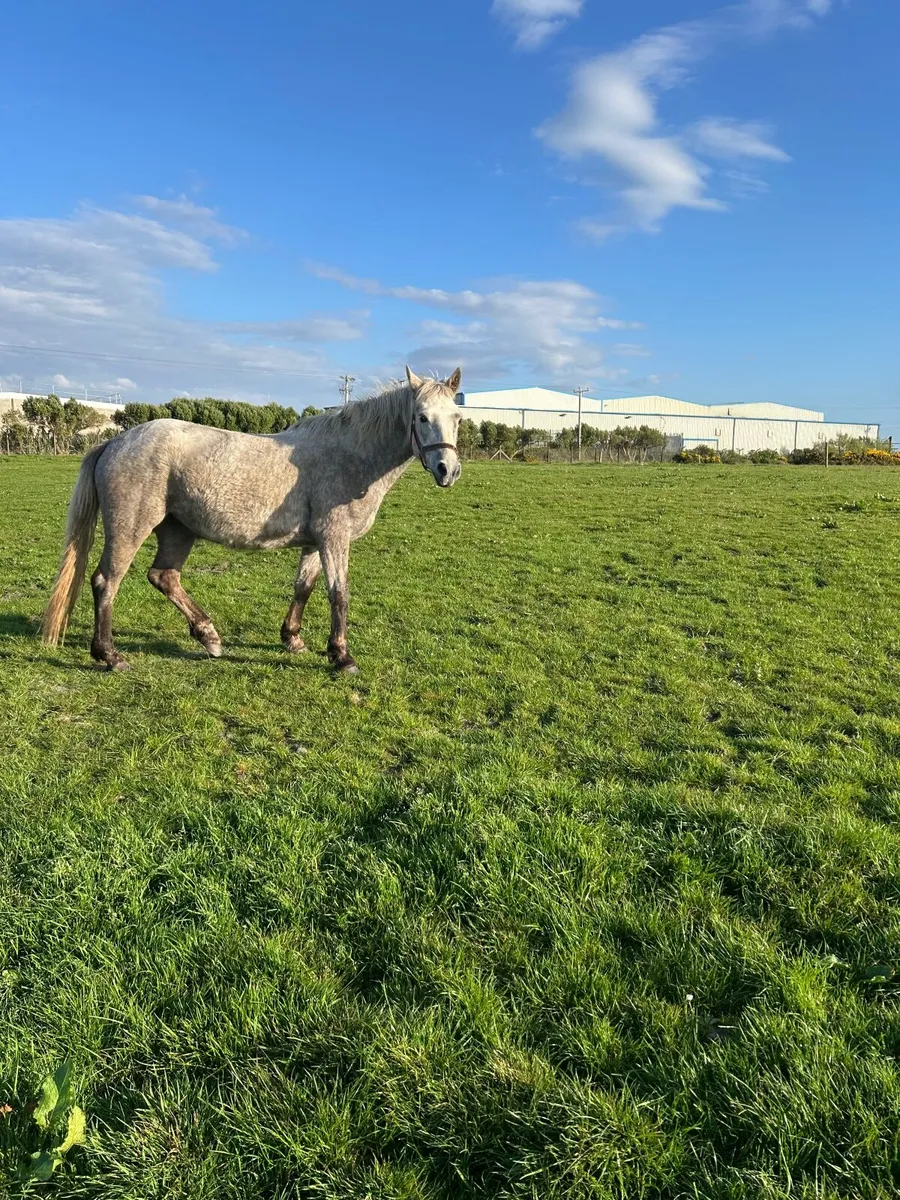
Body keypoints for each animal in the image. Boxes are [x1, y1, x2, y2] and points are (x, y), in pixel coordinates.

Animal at [41, 366, 463, 674]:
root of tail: (115, 442)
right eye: (421, 417)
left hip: (178, 531)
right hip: (130, 528)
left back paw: (209, 637)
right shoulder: (334, 538)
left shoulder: (315, 542)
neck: (351, 456)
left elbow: (303, 587)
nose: (448, 469)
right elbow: (338, 594)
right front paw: (342, 657)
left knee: (164, 577)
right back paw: (110, 656)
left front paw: (293, 639)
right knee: (106, 583)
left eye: (457, 417)